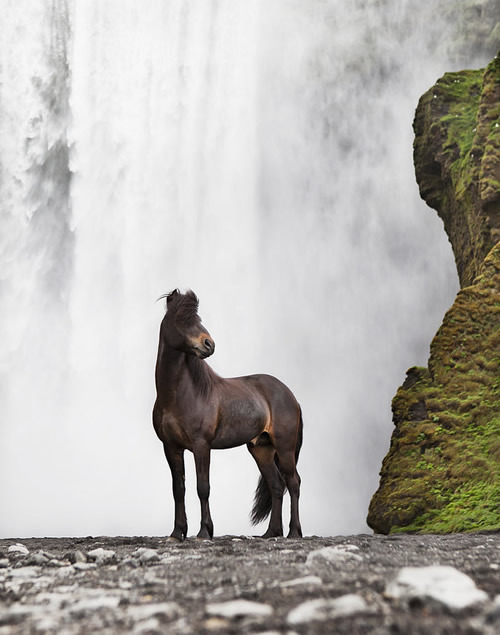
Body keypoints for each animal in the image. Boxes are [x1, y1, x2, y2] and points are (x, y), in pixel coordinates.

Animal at [152, 290, 302, 540]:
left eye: (198, 318)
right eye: (182, 319)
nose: (209, 344)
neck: (181, 394)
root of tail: (291, 396)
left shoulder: (201, 445)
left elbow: (202, 487)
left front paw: (205, 531)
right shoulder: (171, 447)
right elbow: (178, 489)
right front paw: (177, 532)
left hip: (285, 448)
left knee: (294, 483)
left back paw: (294, 532)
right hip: (261, 449)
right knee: (276, 485)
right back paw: (271, 532)